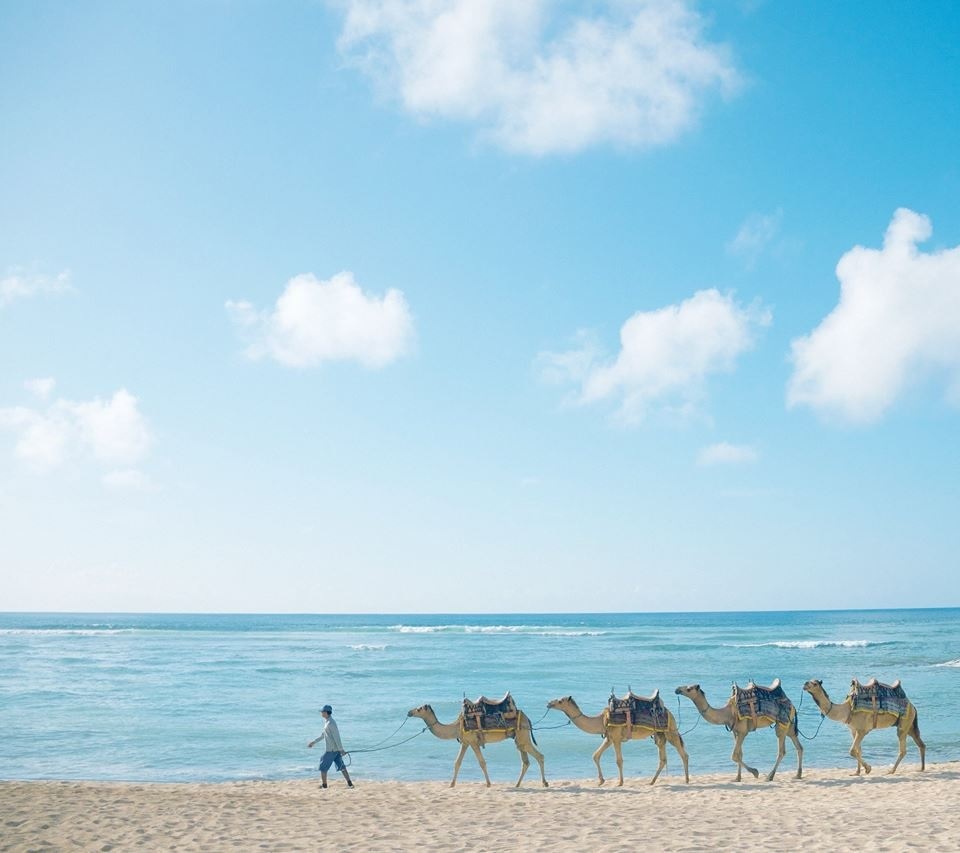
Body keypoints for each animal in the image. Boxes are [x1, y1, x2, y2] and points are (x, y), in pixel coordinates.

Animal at [408, 700, 552, 784]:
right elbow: (457, 762)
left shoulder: (473, 742)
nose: (409, 712)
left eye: (419, 709)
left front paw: (488, 784)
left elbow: (482, 763)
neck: (456, 726)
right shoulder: (465, 742)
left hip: (523, 736)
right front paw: (451, 784)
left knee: (540, 756)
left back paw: (545, 782)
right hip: (519, 738)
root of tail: (528, 719)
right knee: (525, 761)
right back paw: (517, 784)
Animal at [544, 692, 688, 784]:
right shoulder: (609, 738)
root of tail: (668, 711)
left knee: (683, 753)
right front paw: (601, 781)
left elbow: (619, 760)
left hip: (670, 731)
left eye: (560, 701)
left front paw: (620, 782)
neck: (601, 720)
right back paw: (652, 781)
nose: (549, 703)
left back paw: (687, 779)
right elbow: (595, 755)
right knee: (663, 759)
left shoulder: (617, 738)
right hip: (660, 734)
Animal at [676, 680, 804, 780]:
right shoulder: (735, 732)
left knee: (782, 750)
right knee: (799, 746)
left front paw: (755, 772)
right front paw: (737, 778)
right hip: (789, 724)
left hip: (781, 724)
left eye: (689, 689)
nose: (677, 689)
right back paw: (797, 775)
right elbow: (739, 754)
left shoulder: (743, 731)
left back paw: (770, 776)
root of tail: (792, 704)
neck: (727, 713)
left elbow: (734, 755)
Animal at [800, 680, 928, 772]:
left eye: (815, 683)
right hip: (909, 725)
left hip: (904, 723)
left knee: (903, 749)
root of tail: (912, 705)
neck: (846, 709)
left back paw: (891, 770)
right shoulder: (853, 730)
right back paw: (921, 768)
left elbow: (852, 750)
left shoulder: (862, 730)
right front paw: (857, 772)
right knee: (920, 744)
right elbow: (858, 751)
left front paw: (868, 768)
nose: (805, 684)